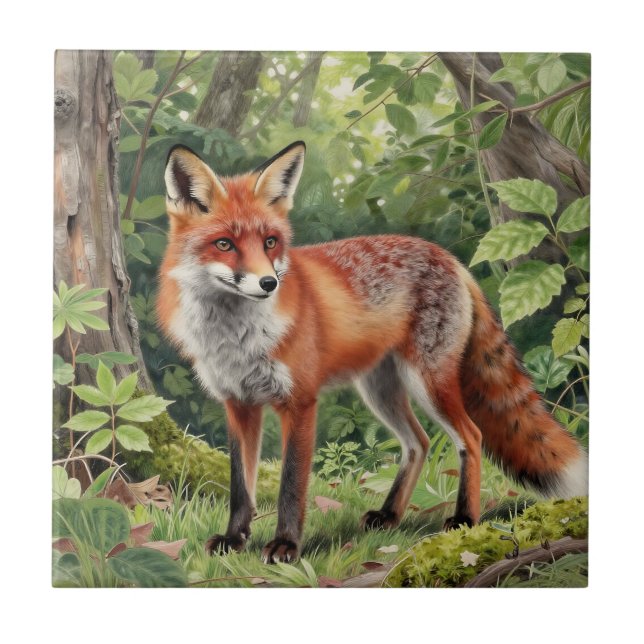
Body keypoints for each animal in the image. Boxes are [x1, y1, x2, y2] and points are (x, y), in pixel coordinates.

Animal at [157, 140, 588, 564]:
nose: (268, 283)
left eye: (270, 242)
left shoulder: (300, 402)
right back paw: (390, 514)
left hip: (428, 383)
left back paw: (465, 518)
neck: (236, 338)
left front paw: (286, 545)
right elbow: (239, 485)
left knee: (472, 435)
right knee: (419, 443)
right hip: (379, 391)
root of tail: (451, 259)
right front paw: (235, 539)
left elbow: (291, 485)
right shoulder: (239, 404)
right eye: (224, 244)